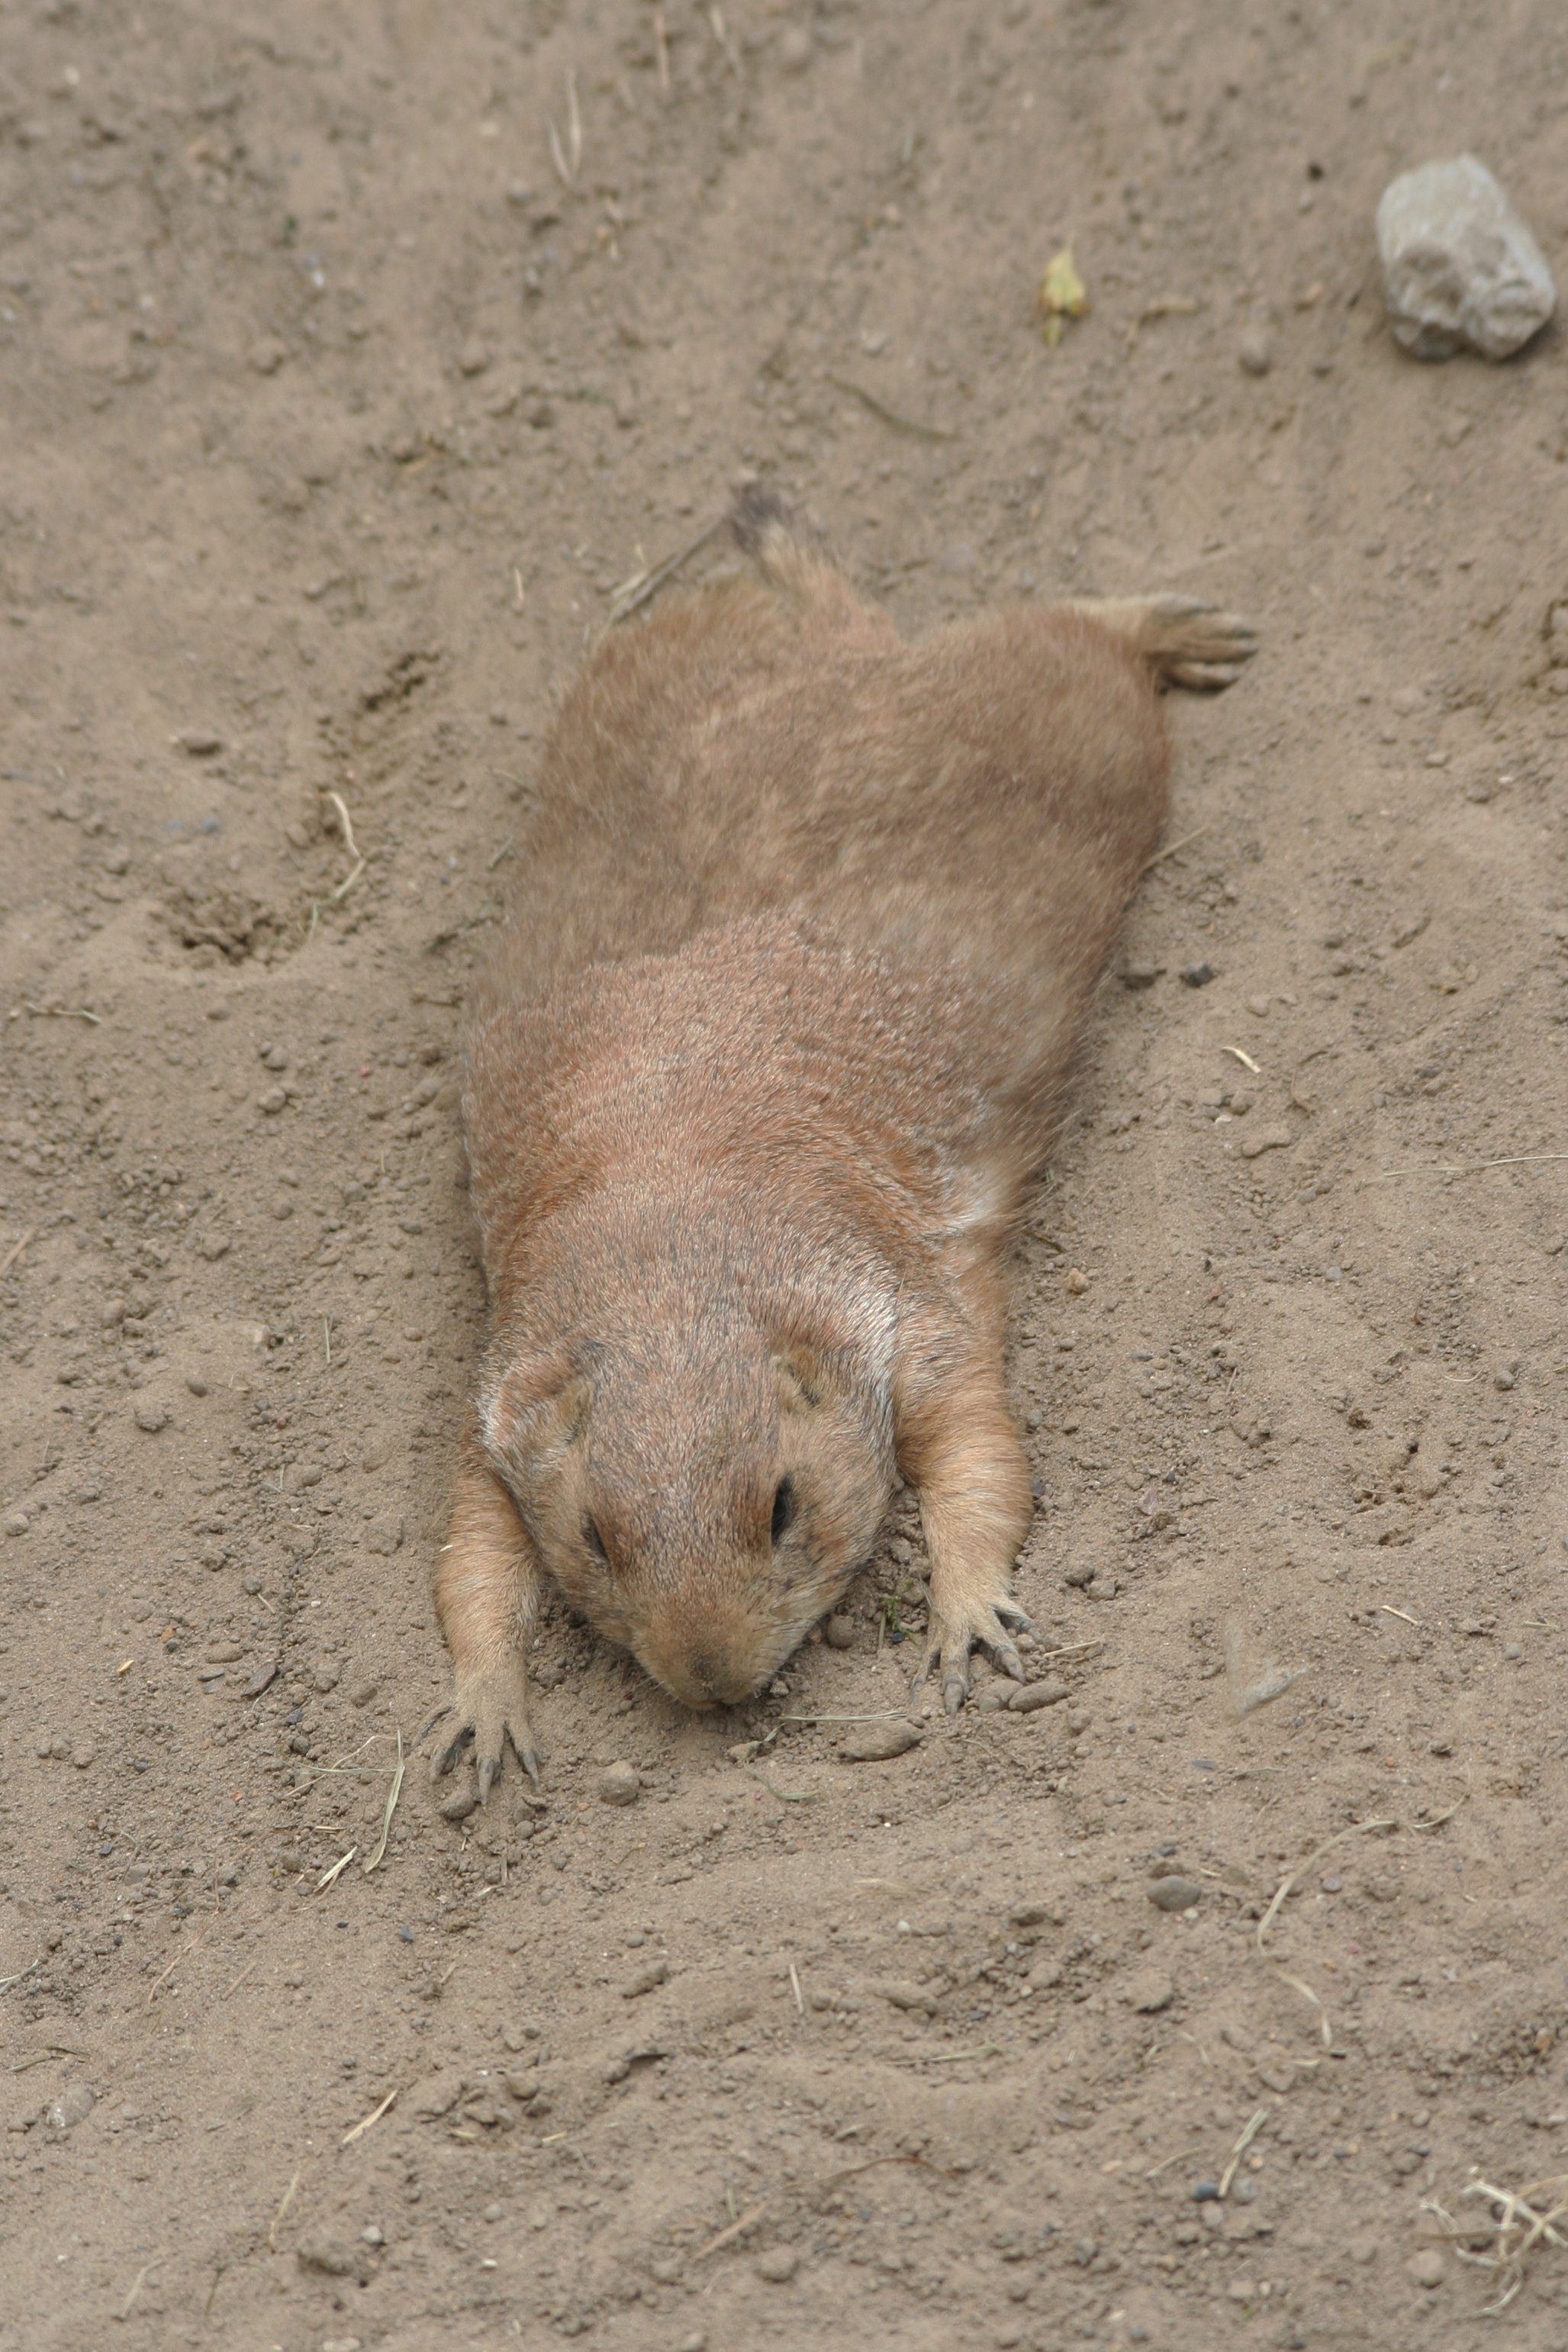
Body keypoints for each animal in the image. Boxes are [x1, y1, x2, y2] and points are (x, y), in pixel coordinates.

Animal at [432, 488, 1255, 1794]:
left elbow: (982, 1446)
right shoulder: (497, 1395)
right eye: (597, 1537)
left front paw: (966, 1619)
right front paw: (485, 1711)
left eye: (779, 1504)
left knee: (1070, 627)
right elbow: (469, 1545)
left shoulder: (906, 1310)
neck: (670, 1247)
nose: (711, 1682)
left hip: (1070, 715)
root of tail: (847, 643)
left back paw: (1180, 624)